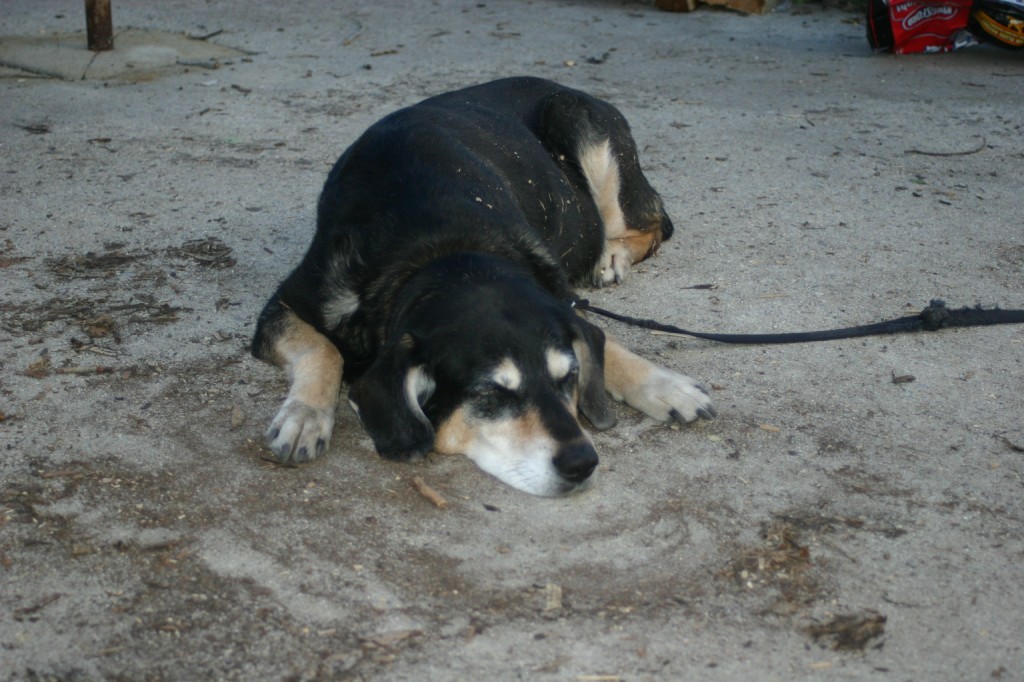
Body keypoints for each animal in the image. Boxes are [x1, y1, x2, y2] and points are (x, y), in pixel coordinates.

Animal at [252, 76, 716, 493]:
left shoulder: (560, 293)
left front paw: (663, 384)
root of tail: (569, 87)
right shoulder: (285, 305)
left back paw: (612, 255)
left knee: (654, 224)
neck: (439, 246)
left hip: (582, 128)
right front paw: (305, 416)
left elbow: (604, 341)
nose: (583, 462)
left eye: (569, 377)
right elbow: (323, 349)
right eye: (490, 395)